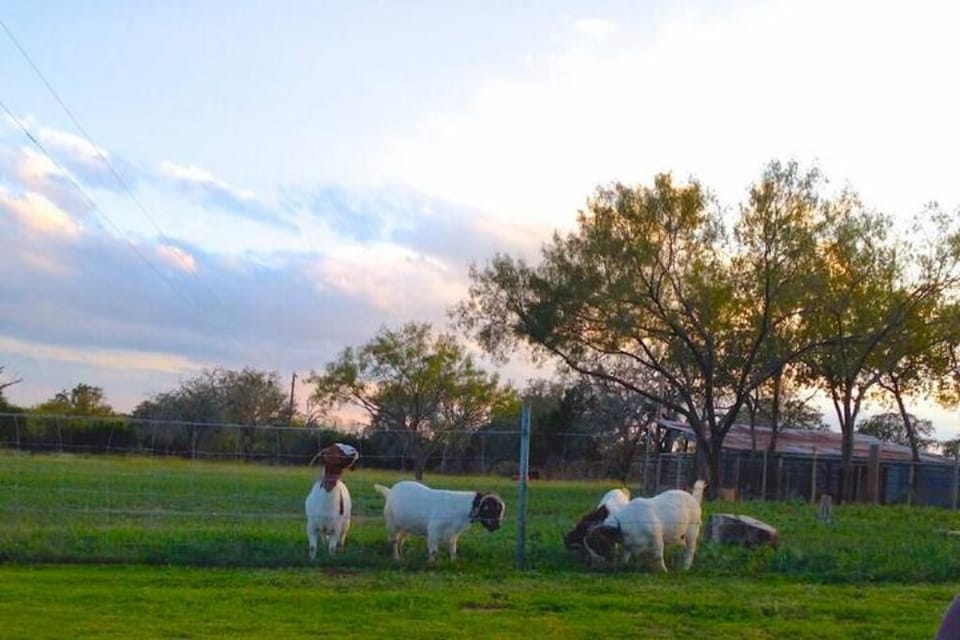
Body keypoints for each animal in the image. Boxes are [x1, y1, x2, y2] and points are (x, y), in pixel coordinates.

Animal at [373, 480, 505, 562]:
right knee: (394, 541)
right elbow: (433, 551)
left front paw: (453, 562)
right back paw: (396, 558)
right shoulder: (433, 531)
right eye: (489, 509)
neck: (457, 507)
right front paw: (431, 563)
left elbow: (453, 549)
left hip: (405, 526)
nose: (497, 526)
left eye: (499, 510)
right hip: (392, 524)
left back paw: (402, 556)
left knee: (400, 540)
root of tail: (391, 491)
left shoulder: (453, 534)